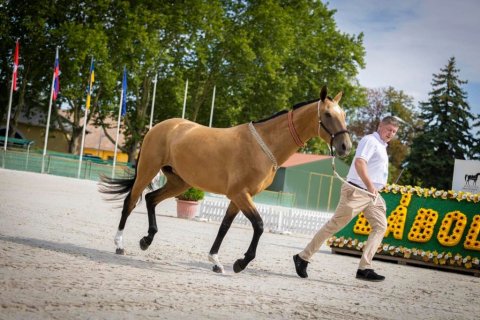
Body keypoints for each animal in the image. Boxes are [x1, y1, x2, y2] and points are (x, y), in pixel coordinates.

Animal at [99, 85, 350, 272]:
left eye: (344, 115)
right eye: (328, 114)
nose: (345, 147)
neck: (264, 145)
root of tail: (158, 127)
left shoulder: (238, 197)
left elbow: (224, 226)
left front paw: (215, 261)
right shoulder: (240, 194)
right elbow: (259, 225)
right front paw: (241, 263)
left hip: (180, 182)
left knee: (151, 199)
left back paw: (147, 240)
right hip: (148, 171)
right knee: (130, 202)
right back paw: (119, 244)